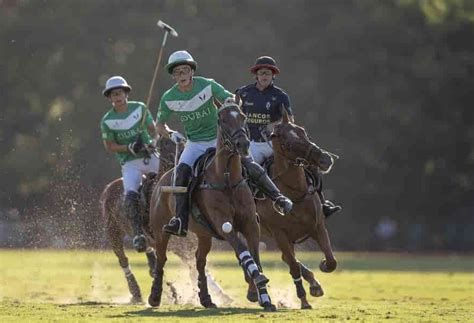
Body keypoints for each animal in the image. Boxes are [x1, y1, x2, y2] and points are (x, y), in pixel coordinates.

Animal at [149, 100, 278, 312]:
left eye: (242, 116)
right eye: (222, 119)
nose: (243, 144)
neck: (226, 179)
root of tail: (162, 180)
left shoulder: (251, 224)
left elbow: (254, 255)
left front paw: (262, 296)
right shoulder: (223, 224)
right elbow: (243, 252)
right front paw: (258, 282)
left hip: (204, 234)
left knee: (199, 260)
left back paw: (206, 298)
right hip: (160, 230)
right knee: (161, 259)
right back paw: (154, 296)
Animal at [252, 112, 336, 312]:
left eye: (304, 132)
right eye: (287, 142)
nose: (325, 159)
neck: (294, 193)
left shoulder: (318, 227)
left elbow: (331, 260)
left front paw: (322, 268)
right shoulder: (279, 233)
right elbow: (294, 267)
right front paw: (304, 300)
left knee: (288, 258)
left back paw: (315, 284)